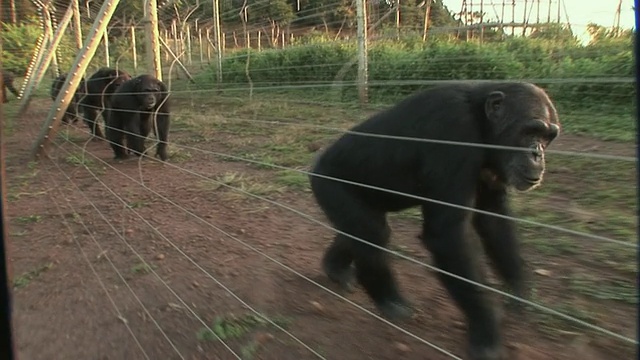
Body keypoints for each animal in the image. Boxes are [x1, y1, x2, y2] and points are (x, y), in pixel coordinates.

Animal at [310, 81, 560, 360]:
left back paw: (336, 268)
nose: (537, 154)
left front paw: (519, 290)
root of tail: (315, 164)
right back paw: (390, 301)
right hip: (330, 185)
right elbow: (448, 235)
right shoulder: (453, 131)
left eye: (547, 137)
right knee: (370, 233)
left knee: (360, 230)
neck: (481, 124)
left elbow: (493, 220)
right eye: (530, 131)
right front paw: (487, 332)